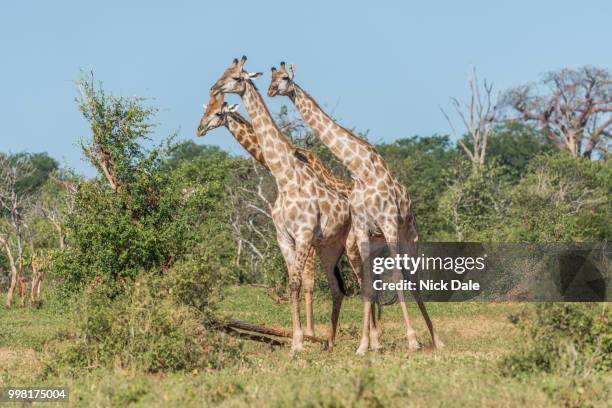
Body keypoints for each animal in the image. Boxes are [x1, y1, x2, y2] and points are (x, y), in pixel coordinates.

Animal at [209, 55, 354, 352]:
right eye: (224, 72)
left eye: (236, 77)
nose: (214, 87)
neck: (285, 178)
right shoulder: (284, 237)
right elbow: (291, 284)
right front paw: (297, 340)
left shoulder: (304, 235)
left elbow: (298, 282)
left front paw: (299, 342)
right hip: (329, 248)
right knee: (338, 288)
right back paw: (331, 343)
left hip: (354, 244)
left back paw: (371, 343)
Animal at [268, 61, 444, 354]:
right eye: (270, 78)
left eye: (283, 78)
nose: (271, 90)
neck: (360, 169)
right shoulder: (362, 227)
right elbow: (369, 285)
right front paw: (364, 345)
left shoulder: (387, 222)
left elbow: (397, 278)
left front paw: (411, 340)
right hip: (376, 242)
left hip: (409, 237)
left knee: (412, 278)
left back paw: (435, 339)